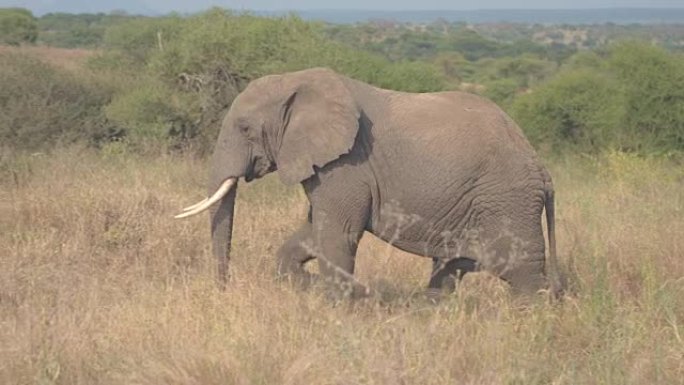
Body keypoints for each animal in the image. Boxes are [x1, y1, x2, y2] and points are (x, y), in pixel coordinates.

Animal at [175, 67, 560, 298]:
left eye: (244, 128)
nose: (223, 290)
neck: (297, 81)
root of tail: (543, 170)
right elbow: (313, 233)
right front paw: (317, 287)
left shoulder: (347, 164)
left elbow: (337, 235)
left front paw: (339, 304)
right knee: (451, 270)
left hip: (506, 202)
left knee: (522, 272)